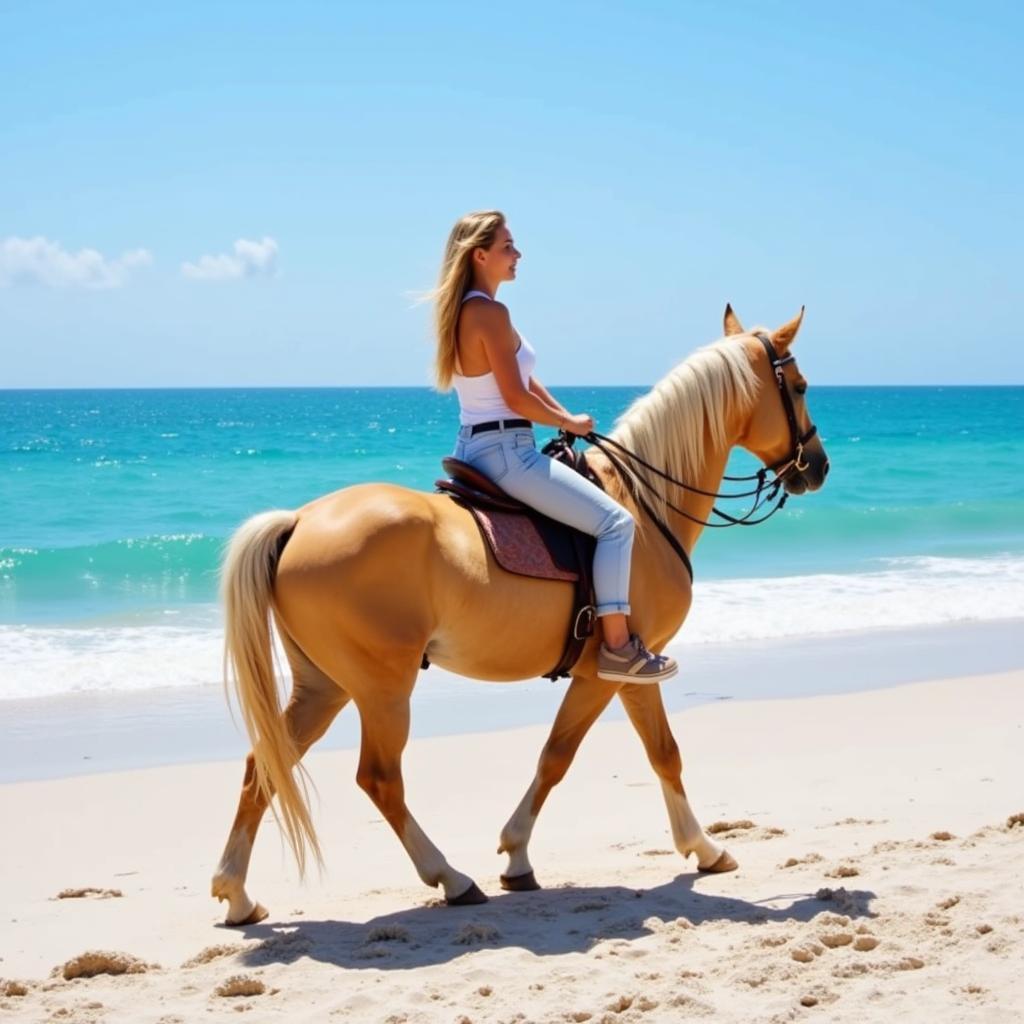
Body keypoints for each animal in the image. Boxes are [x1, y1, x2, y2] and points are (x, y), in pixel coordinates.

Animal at [211, 303, 827, 921]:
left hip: (324, 685)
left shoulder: (629, 675)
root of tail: (298, 521)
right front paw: (519, 855)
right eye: (798, 386)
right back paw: (452, 878)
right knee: (379, 778)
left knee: (262, 766)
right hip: (381, 688)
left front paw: (701, 848)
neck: (641, 505)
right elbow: (564, 757)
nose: (817, 466)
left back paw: (237, 893)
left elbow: (660, 753)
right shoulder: (611, 673)